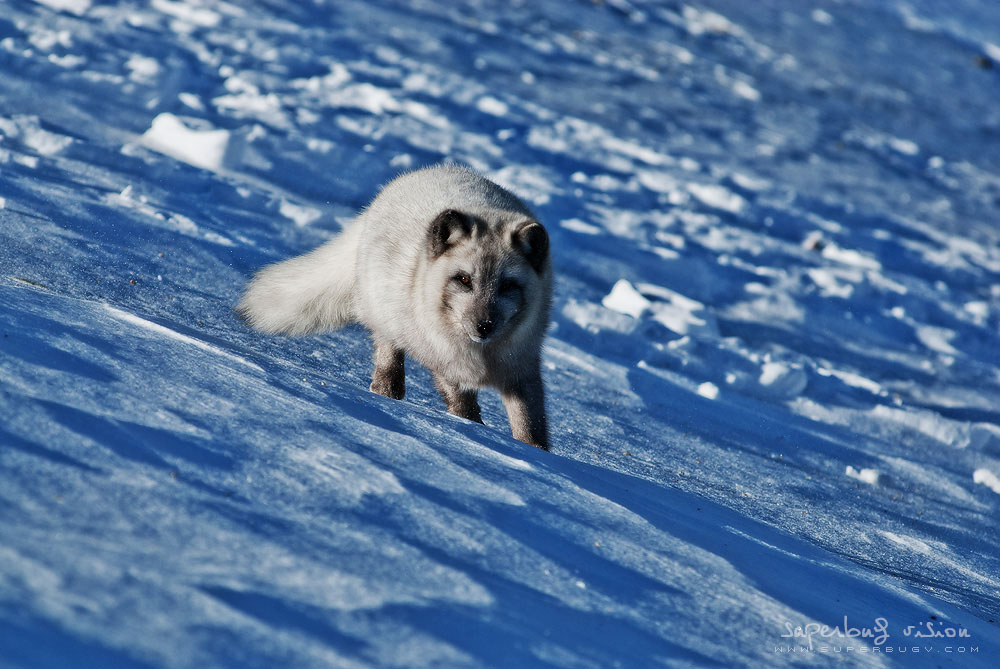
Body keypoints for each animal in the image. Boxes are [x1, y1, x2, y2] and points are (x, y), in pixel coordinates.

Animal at [241, 166, 556, 448]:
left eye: (507, 286)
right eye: (464, 280)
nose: (484, 326)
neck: (482, 355)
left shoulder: (523, 367)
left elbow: (531, 425)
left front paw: (535, 454)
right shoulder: (446, 363)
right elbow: (464, 408)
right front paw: (473, 433)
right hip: (387, 315)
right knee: (388, 355)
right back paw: (386, 392)